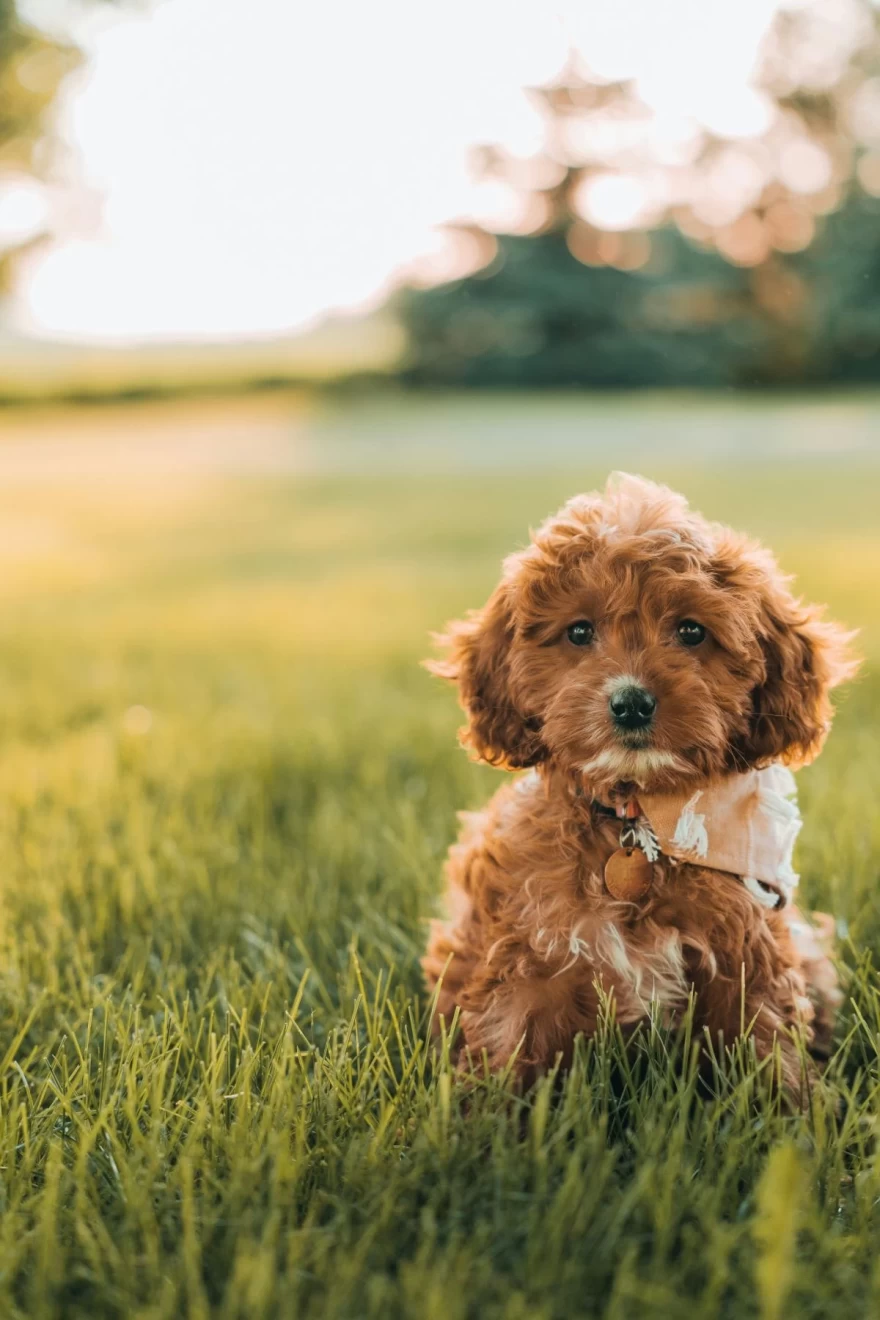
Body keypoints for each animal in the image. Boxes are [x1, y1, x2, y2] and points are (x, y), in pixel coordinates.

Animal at [422, 475, 854, 1092]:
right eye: (579, 631)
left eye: (691, 631)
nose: (630, 703)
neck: (634, 818)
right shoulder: (531, 960)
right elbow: (510, 1045)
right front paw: (485, 1115)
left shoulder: (746, 953)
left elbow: (767, 1041)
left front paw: (794, 1107)